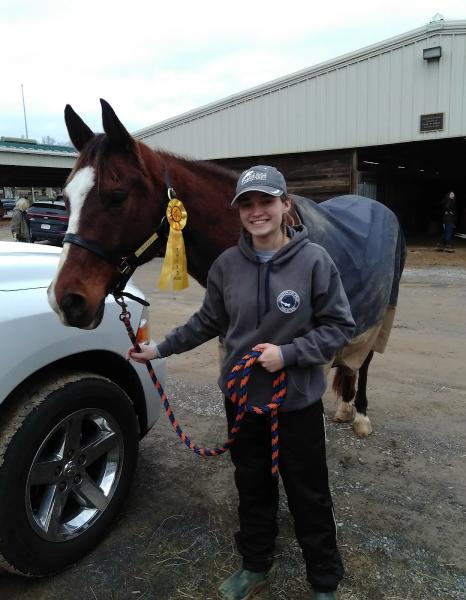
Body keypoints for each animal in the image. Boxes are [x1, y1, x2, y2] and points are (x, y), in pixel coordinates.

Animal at [47, 101, 404, 438]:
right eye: (65, 198)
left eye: (117, 196)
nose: (65, 300)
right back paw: (345, 406)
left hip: (379, 311)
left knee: (365, 360)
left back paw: (359, 413)